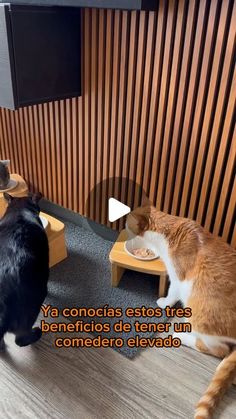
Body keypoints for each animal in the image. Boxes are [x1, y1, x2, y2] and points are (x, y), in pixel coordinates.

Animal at [126, 207, 235, 419]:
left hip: (199, 313)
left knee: (217, 349)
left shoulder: (179, 279)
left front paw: (163, 303)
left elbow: (171, 293)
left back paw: (182, 335)